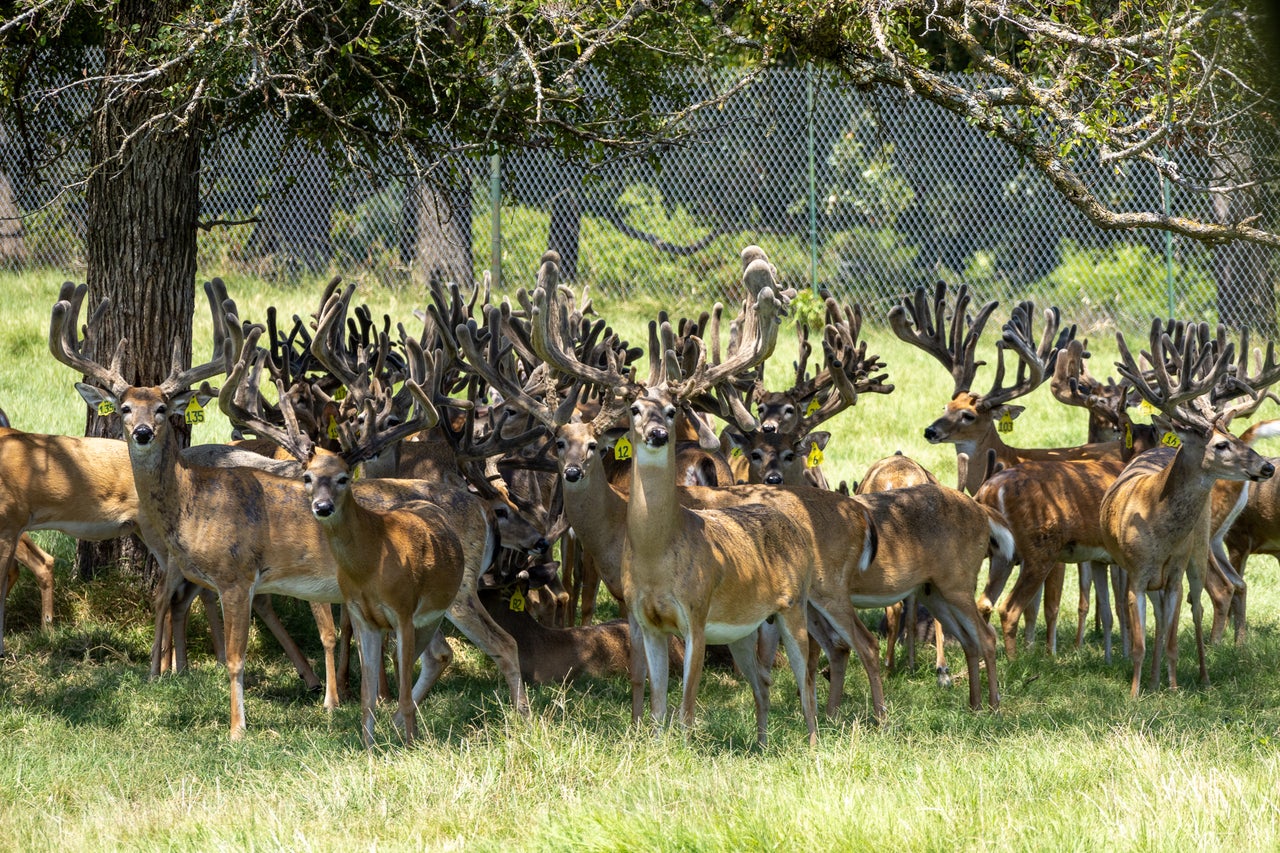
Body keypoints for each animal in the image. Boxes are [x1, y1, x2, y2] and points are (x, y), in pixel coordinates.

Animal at [1095, 318, 1280, 696]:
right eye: (1221, 444)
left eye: (1234, 436)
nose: (1267, 467)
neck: (1155, 522)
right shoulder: (1136, 572)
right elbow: (1141, 640)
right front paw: (1136, 692)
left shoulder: (1175, 573)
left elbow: (1171, 639)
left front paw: (1173, 687)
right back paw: (1155, 680)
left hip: (1198, 553)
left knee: (1208, 602)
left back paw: (1204, 676)